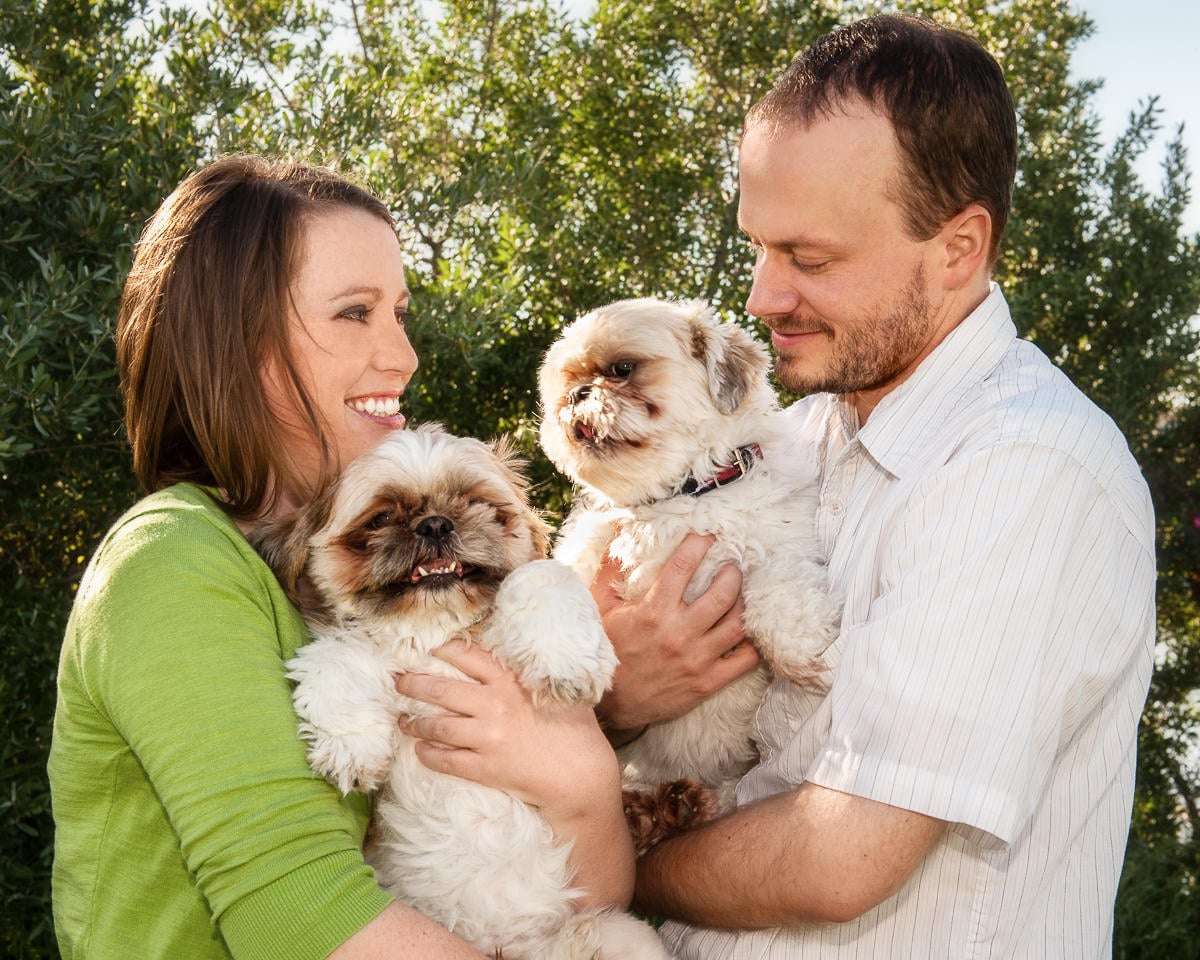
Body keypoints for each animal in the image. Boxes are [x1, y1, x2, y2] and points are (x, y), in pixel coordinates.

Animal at [254, 427, 672, 960]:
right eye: (382, 518)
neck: (435, 632)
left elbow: (539, 576)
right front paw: (353, 748)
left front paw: (563, 662)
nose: (435, 524)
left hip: (621, 937)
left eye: (473, 502)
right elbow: (333, 657)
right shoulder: (349, 648)